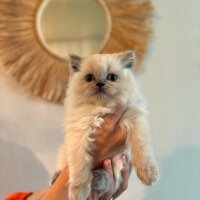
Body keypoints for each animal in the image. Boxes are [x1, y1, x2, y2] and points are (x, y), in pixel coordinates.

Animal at [57, 51, 159, 200]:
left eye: (112, 77)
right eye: (89, 78)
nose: (100, 83)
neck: (103, 108)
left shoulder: (135, 122)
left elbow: (142, 151)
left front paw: (148, 175)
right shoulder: (79, 133)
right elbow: (79, 166)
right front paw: (78, 192)